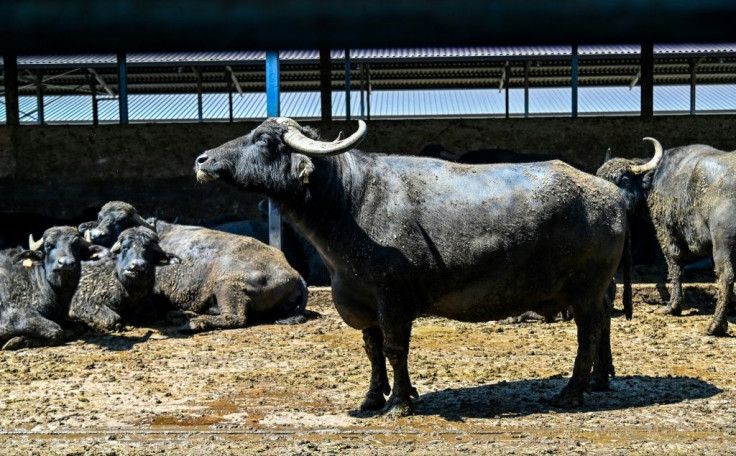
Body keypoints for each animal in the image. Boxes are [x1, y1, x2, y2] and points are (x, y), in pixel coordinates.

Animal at [194, 117, 632, 416]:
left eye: (264, 140)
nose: (202, 159)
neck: (350, 203)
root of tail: (610, 194)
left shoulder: (394, 299)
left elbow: (394, 348)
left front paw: (400, 401)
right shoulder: (361, 301)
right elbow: (372, 350)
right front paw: (372, 398)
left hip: (586, 290)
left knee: (589, 334)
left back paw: (572, 392)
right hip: (595, 291)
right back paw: (598, 380)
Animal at [600, 136, 736, 334]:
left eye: (624, 179)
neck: (654, 180)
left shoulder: (667, 232)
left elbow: (675, 266)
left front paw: (672, 306)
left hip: (723, 243)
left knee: (726, 276)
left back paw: (716, 325)